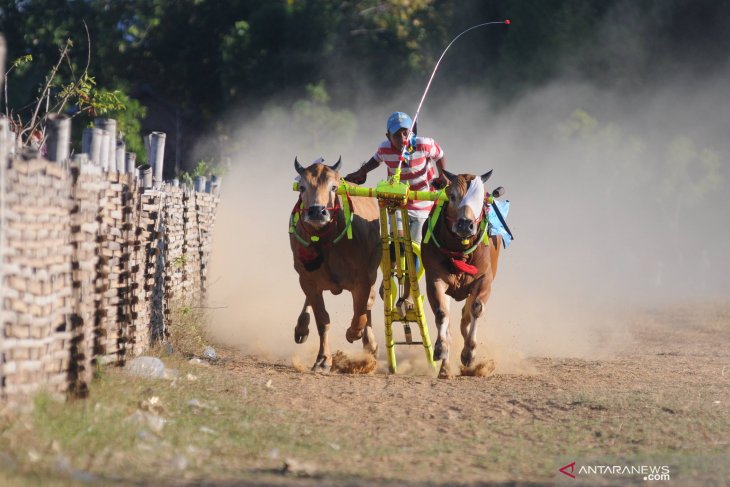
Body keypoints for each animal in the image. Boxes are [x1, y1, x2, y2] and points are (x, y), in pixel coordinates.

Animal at [290, 158, 382, 372]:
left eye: (333, 187)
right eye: (302, 187)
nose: (317, 211)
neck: (328, 241)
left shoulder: (363, 280)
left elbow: (360, 314)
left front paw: (353, 334)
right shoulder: (307, 279)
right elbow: (322, 320)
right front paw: (323, 360)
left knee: (368, 305)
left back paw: (370, 345)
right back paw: (301, 328)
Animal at [420, 170, 500, 380]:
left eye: (480, 198)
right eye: (453, 196)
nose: (465, 225)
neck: (460, 252)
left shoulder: (484, 279)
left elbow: (476, 309)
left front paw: (469, 353)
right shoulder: (435, 278)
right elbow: (442, 313)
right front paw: (441, 348)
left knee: (466, 316)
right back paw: (445, 368)